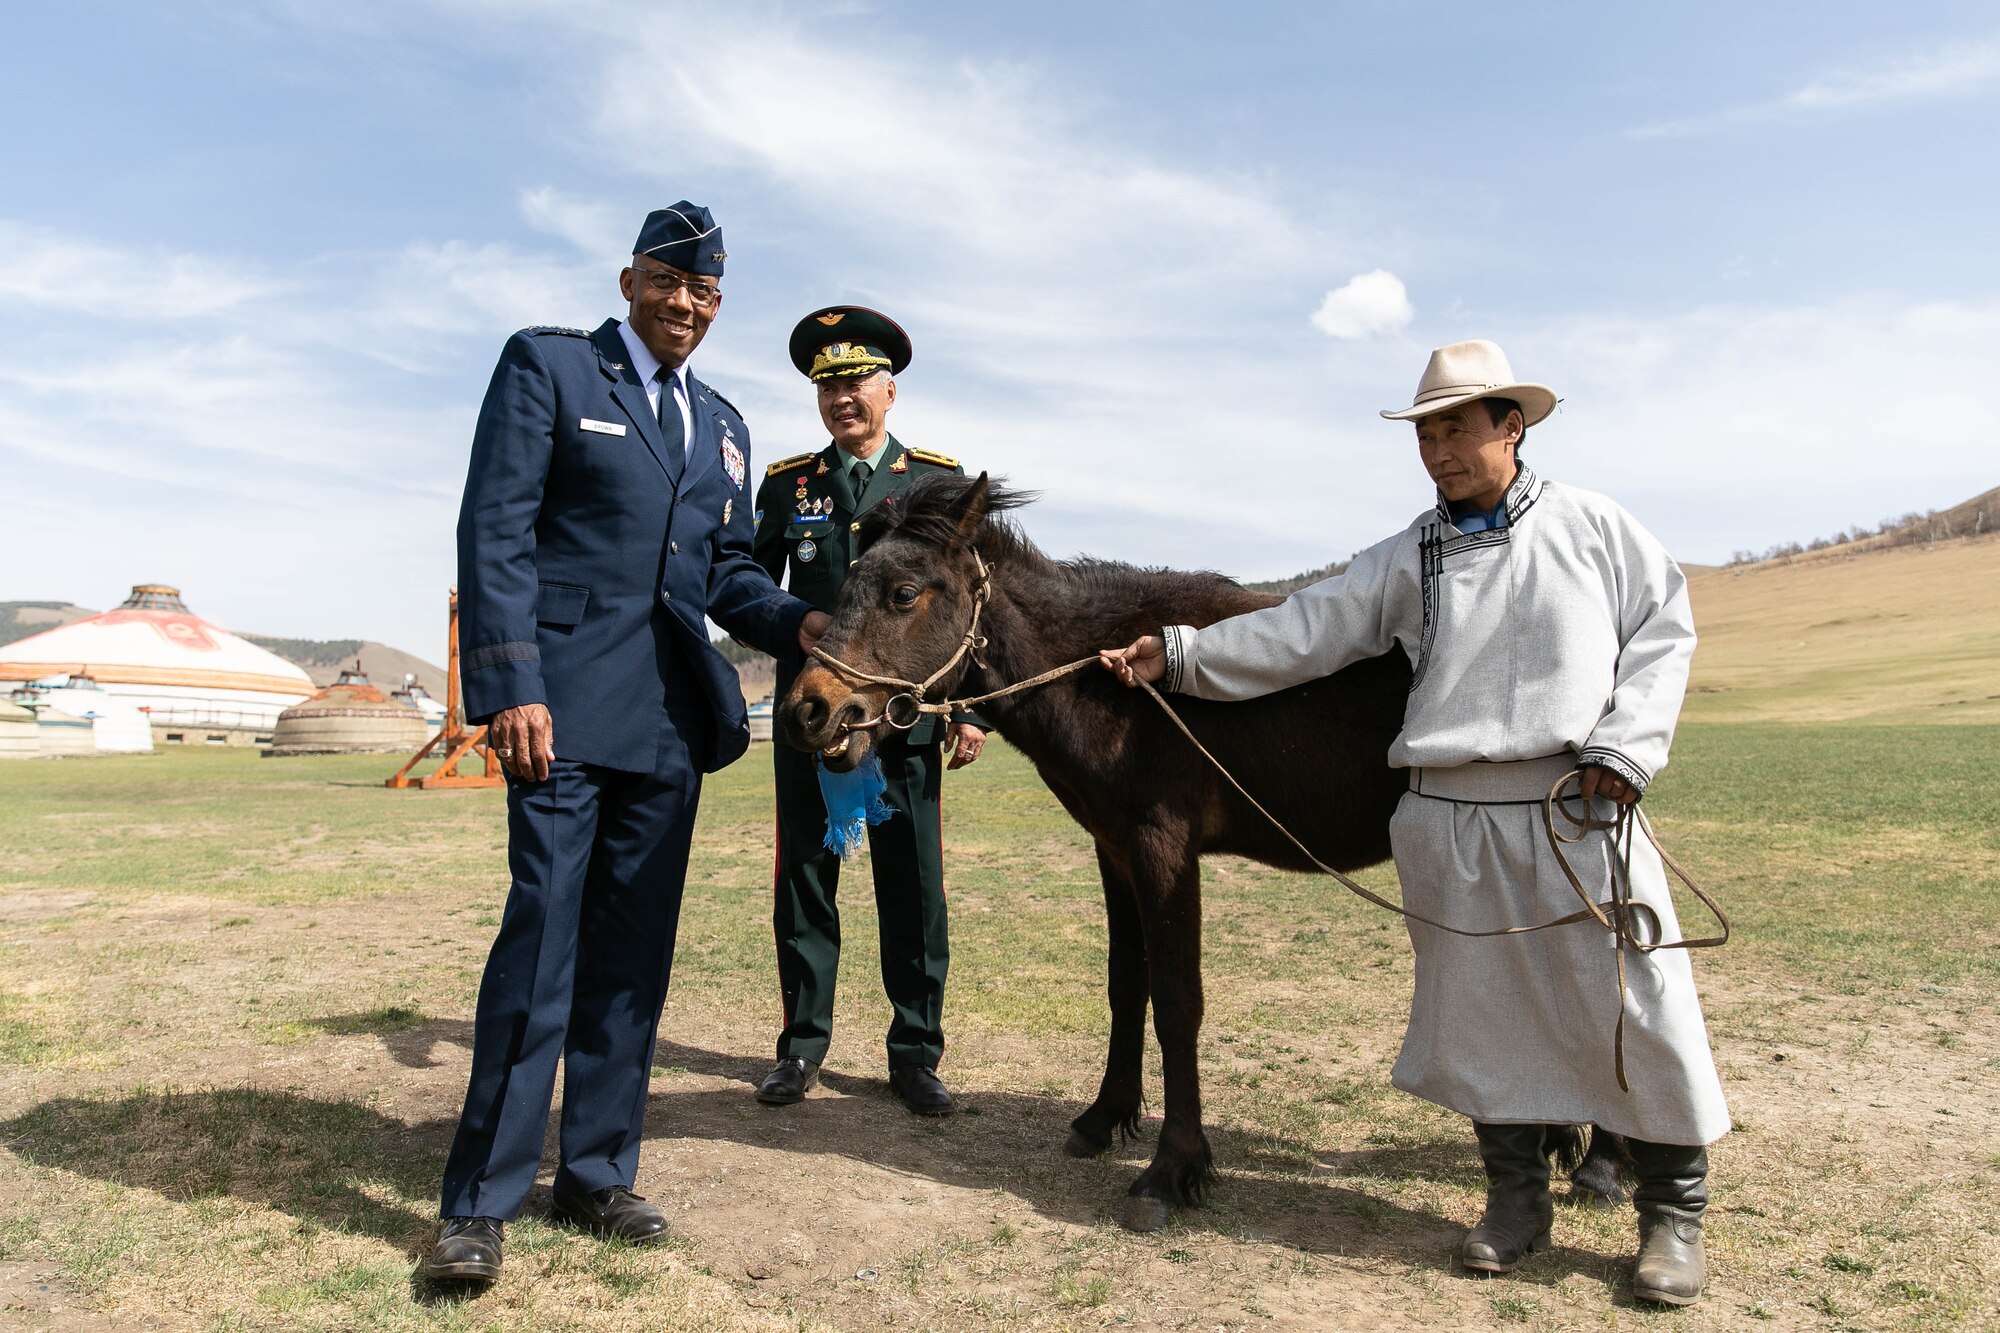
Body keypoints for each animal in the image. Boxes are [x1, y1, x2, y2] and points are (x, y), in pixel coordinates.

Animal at [772, 474, 1632, 1224]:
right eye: (848, 585)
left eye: (903, 593)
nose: (809, 711)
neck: (1115, 681)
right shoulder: (1115, 851)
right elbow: (1127, 985)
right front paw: (1105, 1116)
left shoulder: (1163, 849)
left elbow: (1178, 1001)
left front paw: (1173, 1167)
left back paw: (1603, 1162)